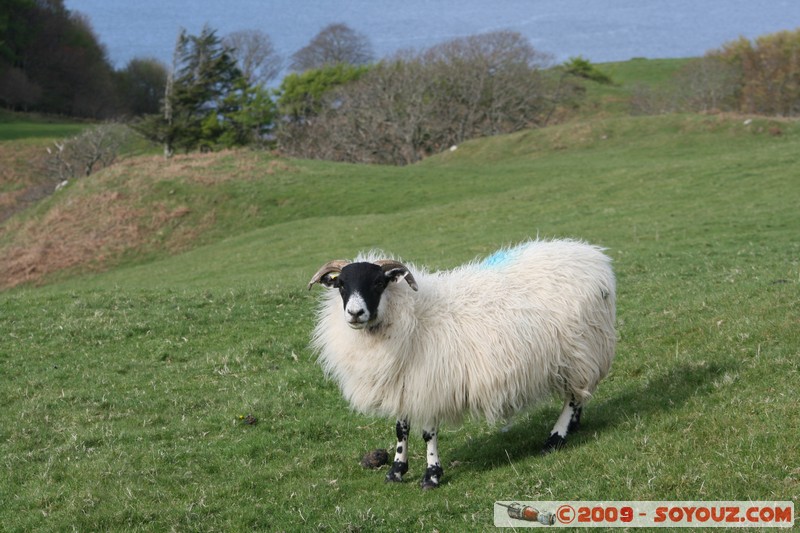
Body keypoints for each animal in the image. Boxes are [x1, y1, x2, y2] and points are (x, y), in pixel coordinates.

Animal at [310, 239, 616, 488]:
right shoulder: (405, 383)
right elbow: (401, 429)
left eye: (378, 283)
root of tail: (593, 257)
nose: (355, 313)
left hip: (581, 348)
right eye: (341, 285)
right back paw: (574, 425)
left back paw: (556, 437)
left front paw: (431, 475)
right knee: (579, 392)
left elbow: (427, 433)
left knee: (573, 396)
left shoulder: (430, 382)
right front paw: (396, 471)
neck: (413, 315)